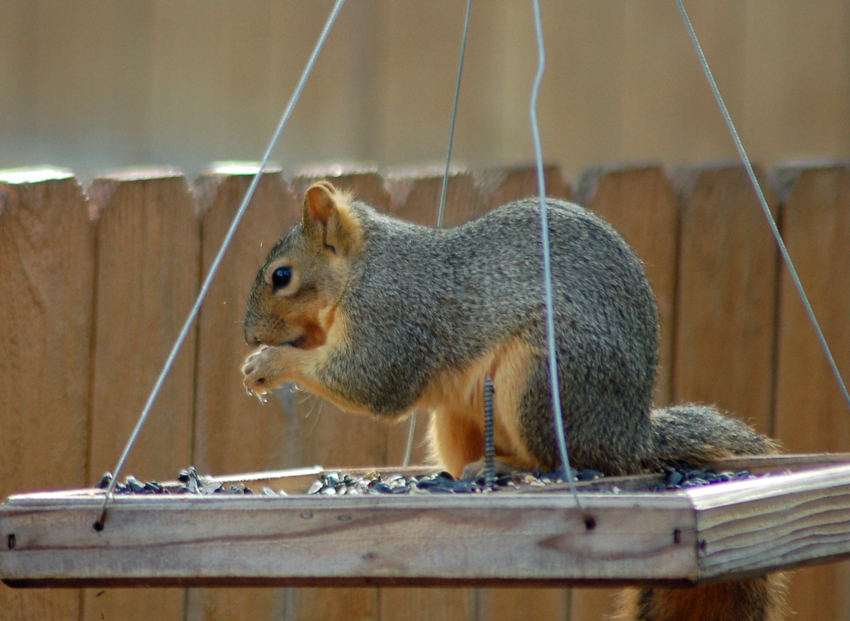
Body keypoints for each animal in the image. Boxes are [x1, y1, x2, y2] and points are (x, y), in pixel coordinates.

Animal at [242, 180, 786, 620]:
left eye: (281, 276)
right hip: (458, 419)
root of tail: (630, 436)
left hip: (540, 380)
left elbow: (368, 381)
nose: (249, 336)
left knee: (558, 461)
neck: (363, 269)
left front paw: (271, 363)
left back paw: (506, 469)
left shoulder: (391, 317)